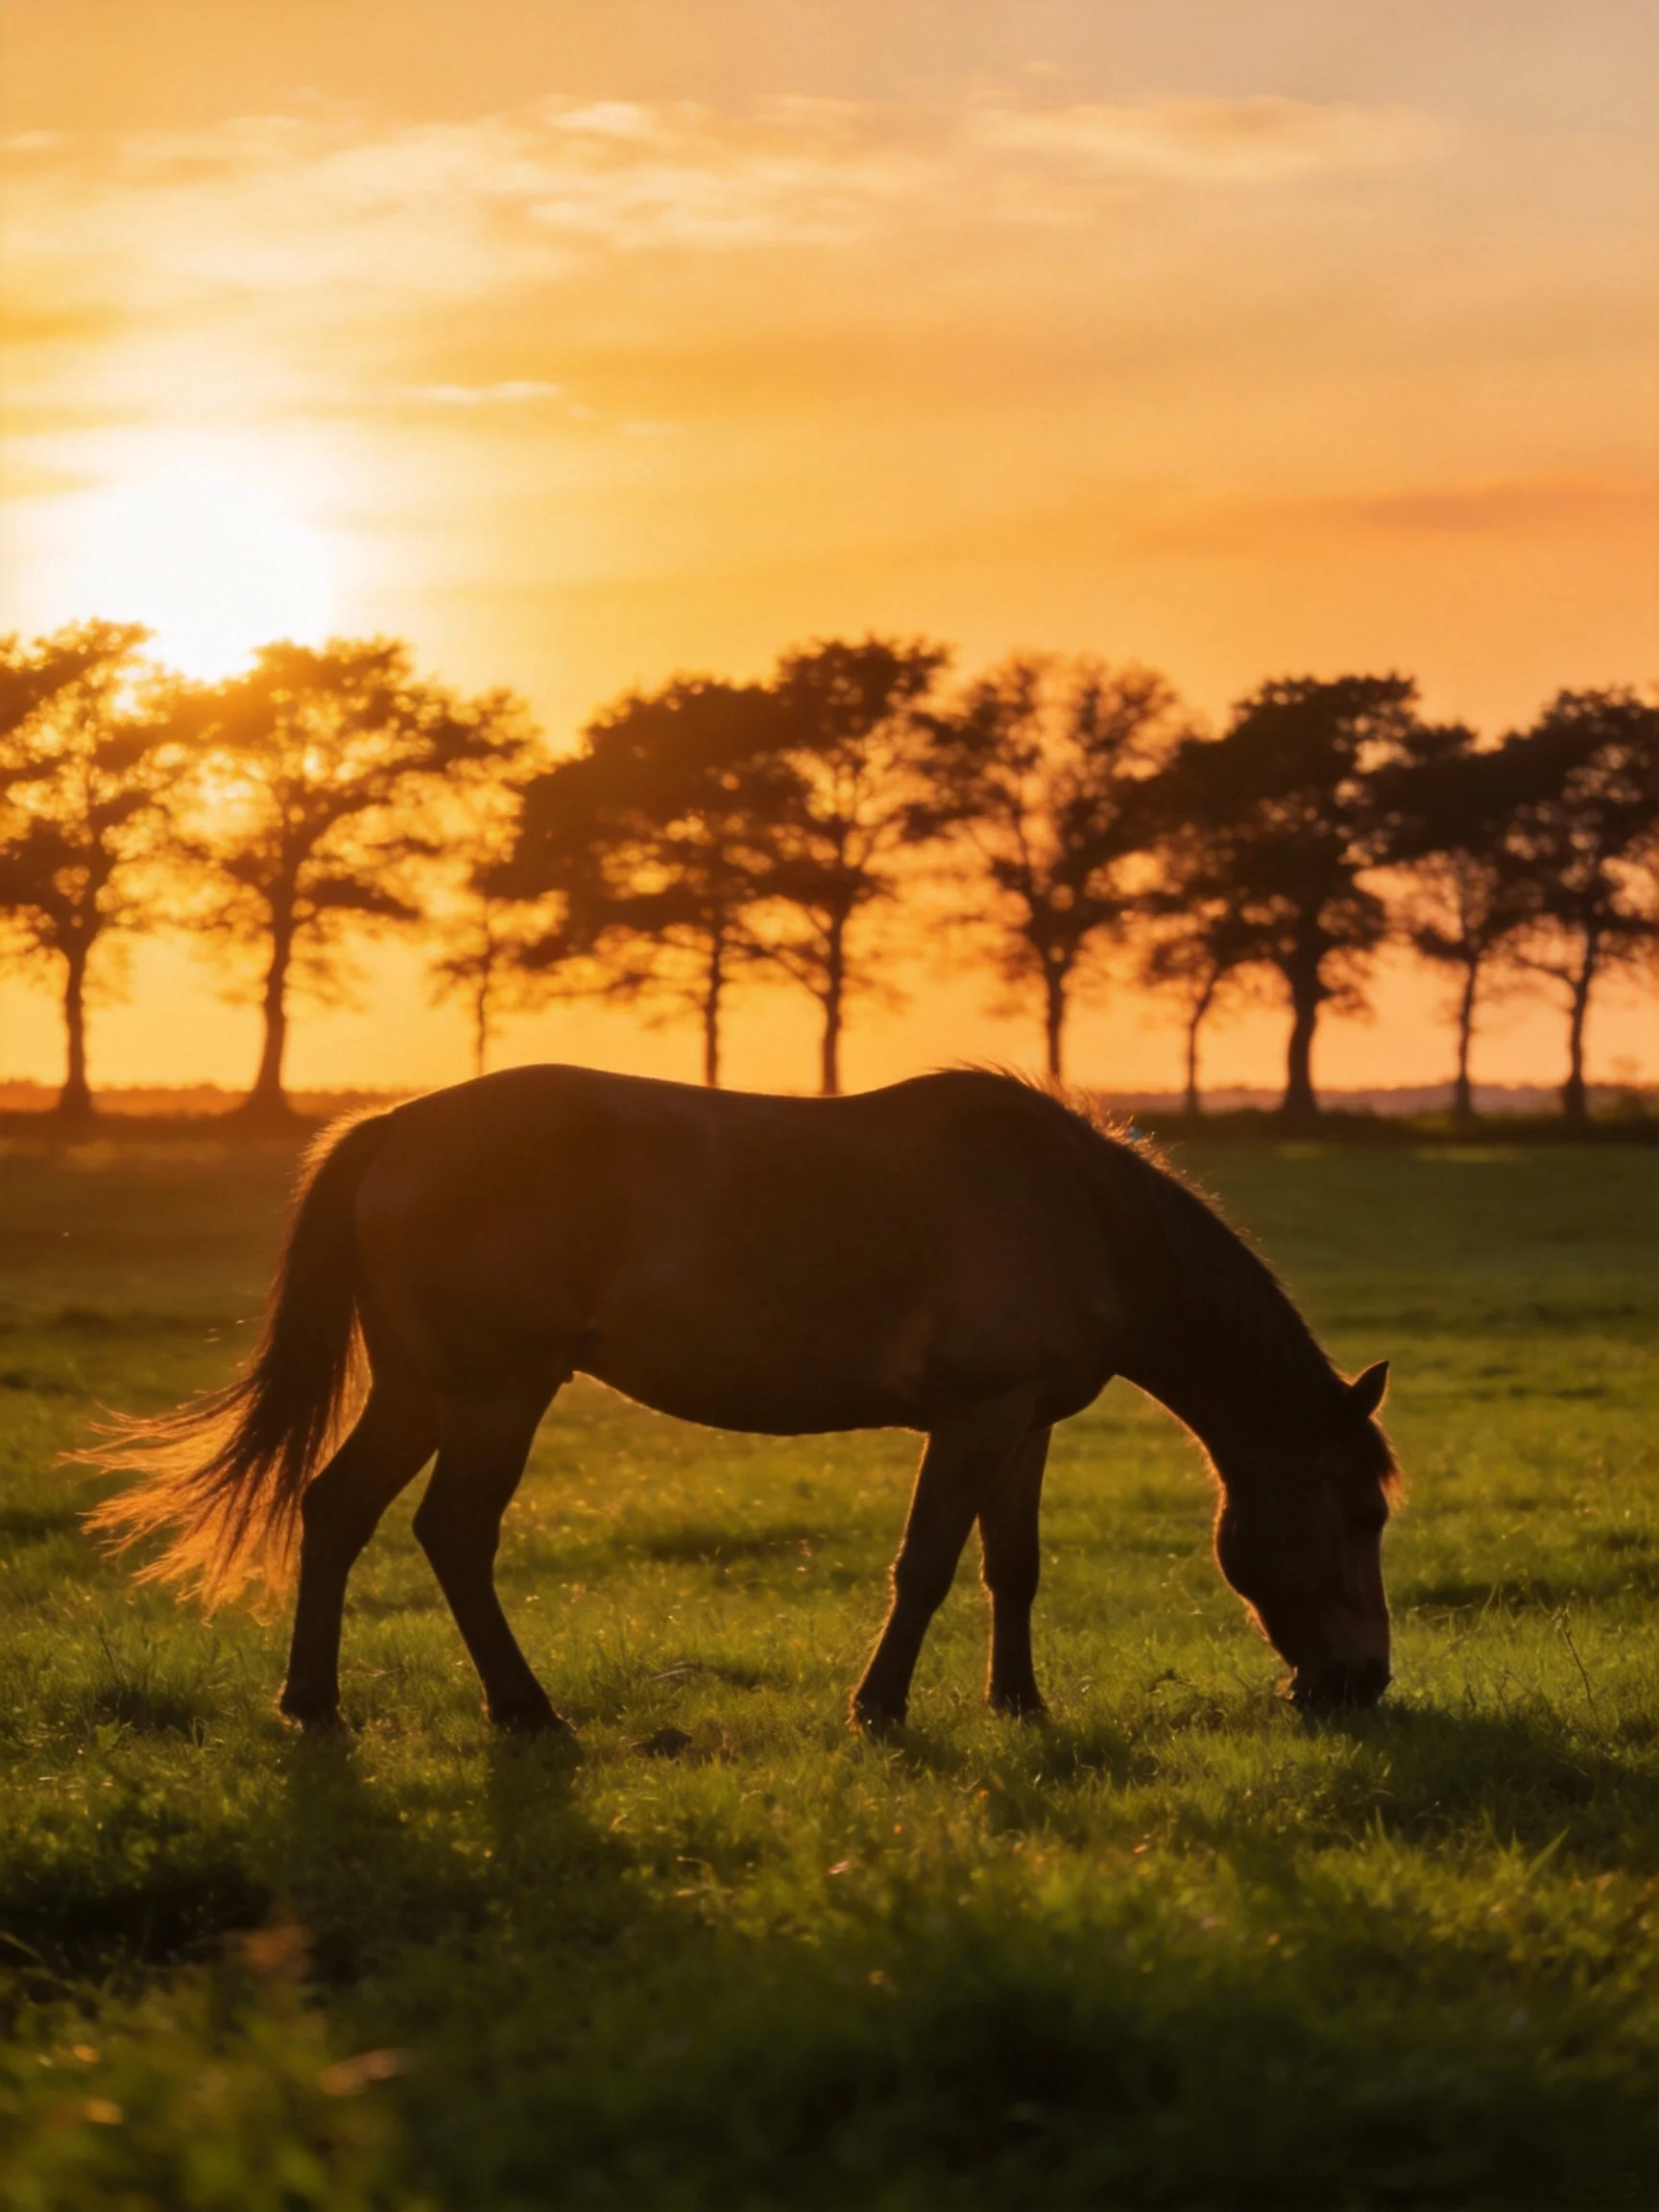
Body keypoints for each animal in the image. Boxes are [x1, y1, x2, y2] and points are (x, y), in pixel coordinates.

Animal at [85, 1065, 1399, 1734]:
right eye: (1364, 1512)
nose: (1365, 1682)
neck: (1081, 1212)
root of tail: (393, 1128)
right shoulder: (973, 1417)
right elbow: (925, 1565)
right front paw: (880, 1708)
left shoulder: (1021, 1423)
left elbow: (1009, 1567)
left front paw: (1017, 1702)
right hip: (498, 1392)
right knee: (452, 1532)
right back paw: (525, 1710)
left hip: (421, 1387)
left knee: (338, 1510)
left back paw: (313, 1704)